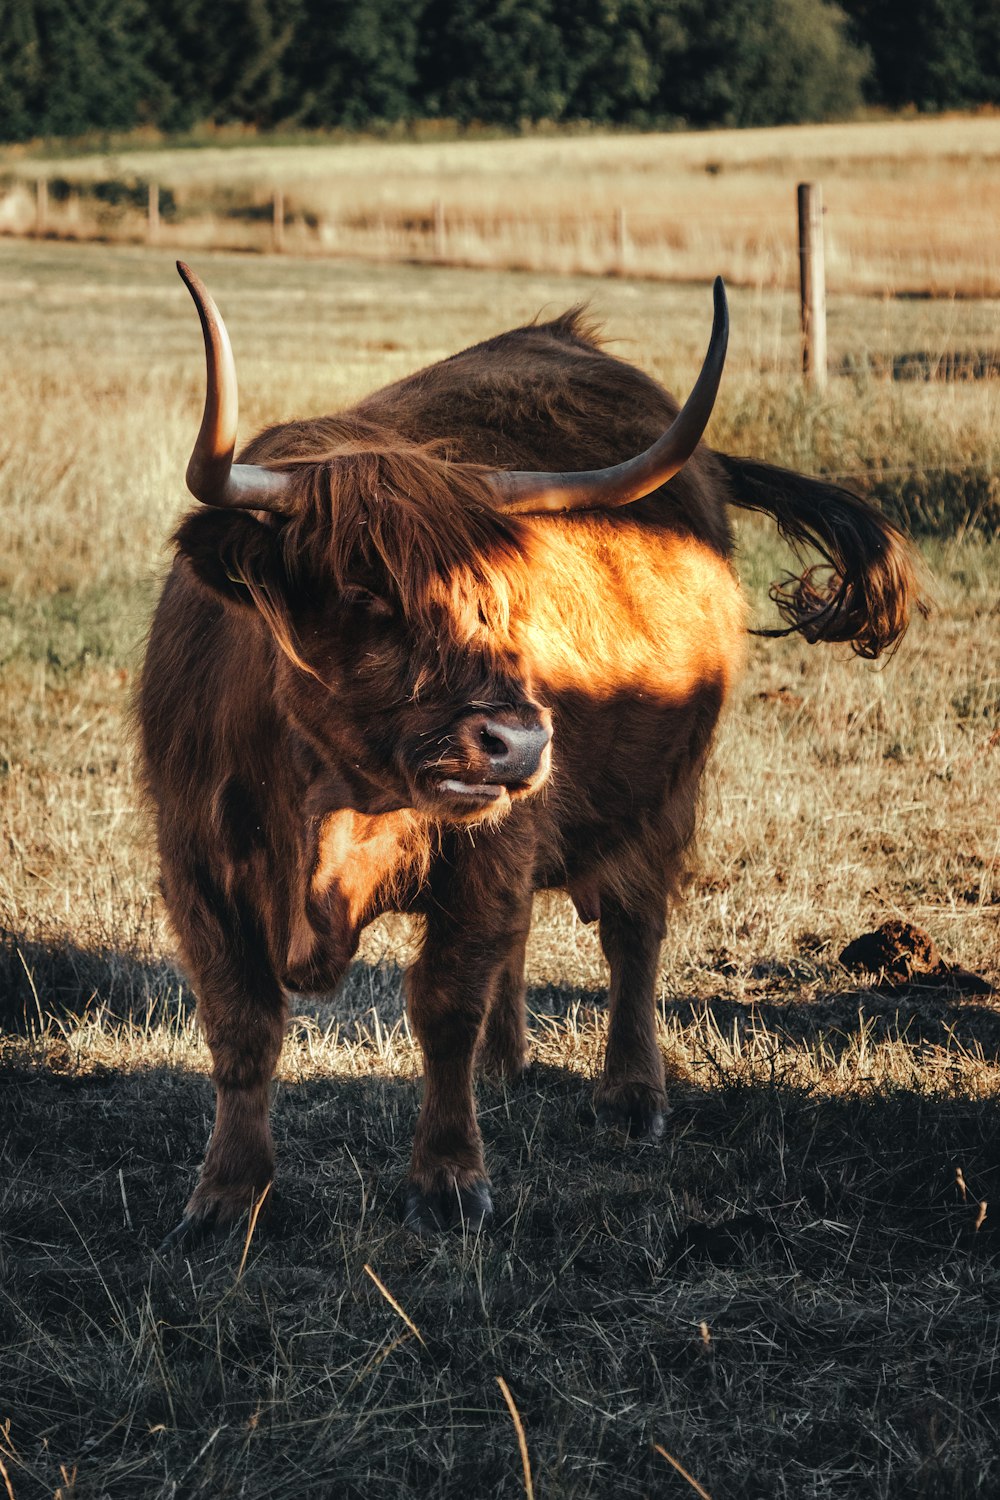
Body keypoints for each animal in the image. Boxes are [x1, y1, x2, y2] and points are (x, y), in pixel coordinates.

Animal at [144, 267, 917, 1242]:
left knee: (633, 934)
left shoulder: (485, 856)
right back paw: (505, 1066)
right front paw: (226, 1195)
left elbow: (443, 1003)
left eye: (500, 598)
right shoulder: (196, 863)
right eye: (363, 592)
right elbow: (241, 1025)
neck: (326, 805)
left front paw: (448, 1178)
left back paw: (631, 1095)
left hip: (665, 796)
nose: (520, 742)